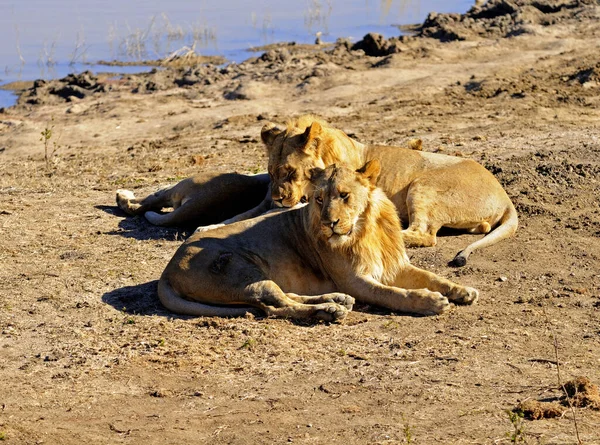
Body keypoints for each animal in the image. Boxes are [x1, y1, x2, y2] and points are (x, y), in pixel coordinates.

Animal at [158, 160, 478, 320]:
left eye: (344, 196)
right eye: (319, 199)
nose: (329, 223)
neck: (366, 229)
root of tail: (166, 271)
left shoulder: (394, 265)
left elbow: (432, 277)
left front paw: (462, 291)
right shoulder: (355, 280)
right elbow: (394, 294)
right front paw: (429, 301)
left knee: (284, 296)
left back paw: (336, 300)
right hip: (243, 271)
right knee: (275, 307)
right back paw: (330, 310)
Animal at [260, 115, 516, 268]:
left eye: (291, 172)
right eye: (270, 172)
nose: (277, 199)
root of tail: (505, 197)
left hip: (422, 185)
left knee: (423, 234)